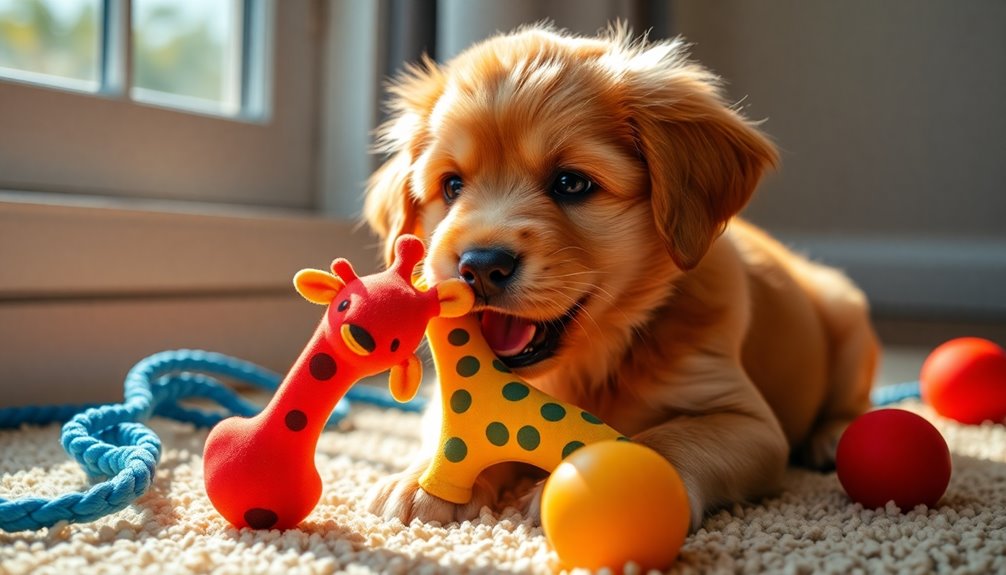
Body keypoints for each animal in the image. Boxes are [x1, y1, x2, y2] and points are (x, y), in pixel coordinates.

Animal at [364, 25, 881, 530]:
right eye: (452, 186)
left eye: (571, 183)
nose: (480, 266)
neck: (594, 361)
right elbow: (456, 429)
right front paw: (417, 481)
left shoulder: (746, 420)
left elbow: (668, 437)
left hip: (845, 316)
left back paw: (832, 436)